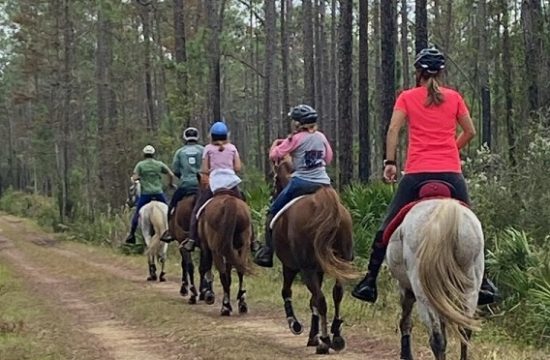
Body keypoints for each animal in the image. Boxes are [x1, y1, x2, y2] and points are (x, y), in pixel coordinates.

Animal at [197, 176, 253, 316]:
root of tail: (229, 203)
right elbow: (229, 274)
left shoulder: (206, 247)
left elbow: (207, 267)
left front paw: (208, 294)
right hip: (243, 246)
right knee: (240, 269)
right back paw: (242, 303)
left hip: (216, 250)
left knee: (222, 274)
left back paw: (225, 306)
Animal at [272, 158, 358, 354]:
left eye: (275, 179)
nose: (272, 195)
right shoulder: (319, 269)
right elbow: (313, 302)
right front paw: (313, 336)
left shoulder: (291, 266)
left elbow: (287, 292)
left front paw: (295, 325)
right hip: (339, 262)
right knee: (337, 293)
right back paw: (336, 335)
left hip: (306, 269)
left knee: (321, 299)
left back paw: (325, 341)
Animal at [386, 198, 486, 360]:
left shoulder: (405, 288)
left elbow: (405, 322)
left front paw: (406, 355)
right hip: (470, 288)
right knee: (465, 330)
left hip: (423, 292)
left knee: (437, 338)